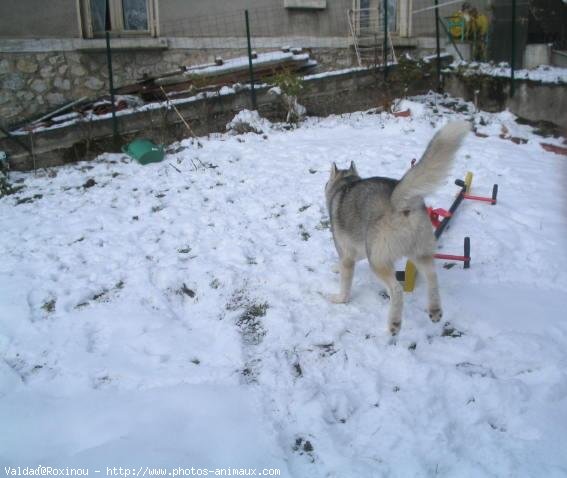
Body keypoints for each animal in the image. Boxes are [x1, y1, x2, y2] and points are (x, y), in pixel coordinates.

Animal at [326, 121, 472, 334]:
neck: (345, 184)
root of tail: (399, 200)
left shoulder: (348, 252)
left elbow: (345, 283)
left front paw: (339, 298)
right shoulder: (360, 248)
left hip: (377, 261)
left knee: (396, 290)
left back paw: (394, 323)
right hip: (419, 252)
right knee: (432, 275)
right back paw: (435, 309)